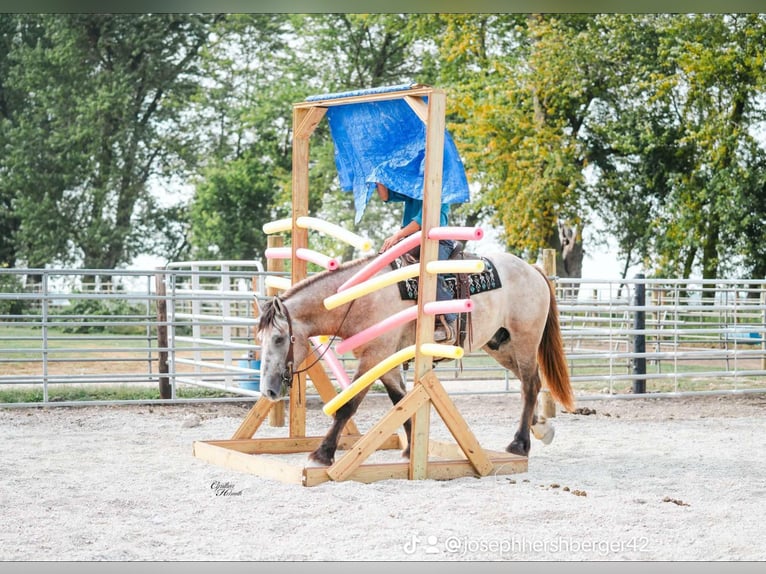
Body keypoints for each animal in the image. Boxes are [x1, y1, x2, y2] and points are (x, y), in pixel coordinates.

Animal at [256, 251, 575, 466]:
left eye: (279, 339)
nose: (268, 391)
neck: (362, 299)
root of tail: (532, 269)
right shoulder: (386, 361)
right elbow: (400, 401)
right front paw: (410, 450)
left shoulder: (375, 356)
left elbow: (349, 405)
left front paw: (322, 454)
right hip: (500, 345)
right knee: (528, 384)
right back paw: (541, 427)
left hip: (524, 341)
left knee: (530, 385)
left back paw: (520, 444)